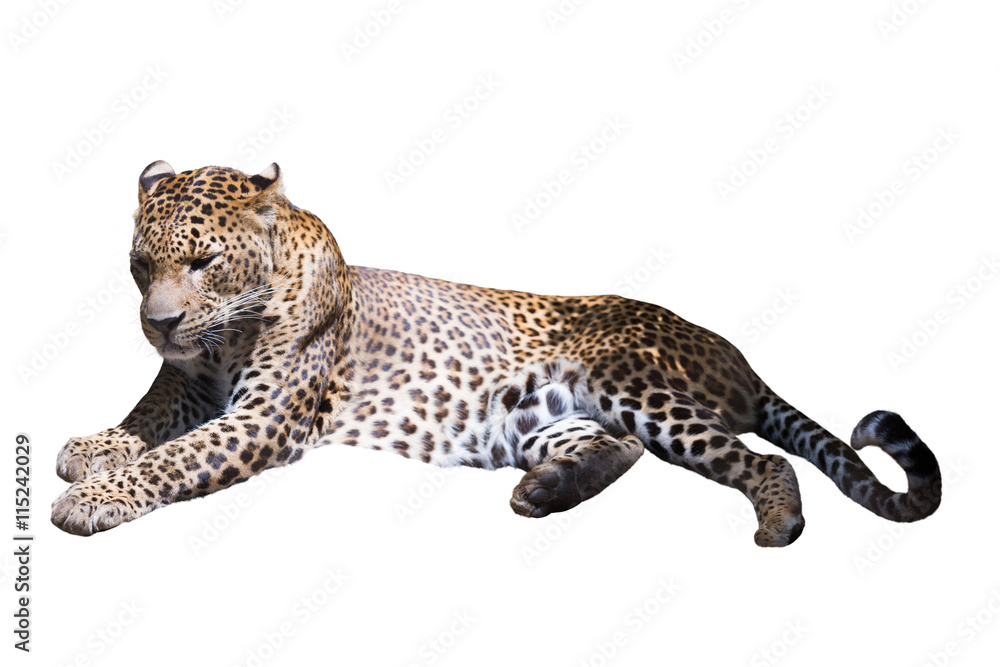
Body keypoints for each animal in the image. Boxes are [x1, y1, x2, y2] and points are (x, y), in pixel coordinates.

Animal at [51, 161, 943, 546]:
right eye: (141, 265)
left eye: (203, 261)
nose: (158, 322)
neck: (228, 331)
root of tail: (737, 357)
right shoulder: (187, 383)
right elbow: (146, 416)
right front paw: (92, 447)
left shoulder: (263, 416)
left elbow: (174, 455)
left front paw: (94, 496)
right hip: (537, 417)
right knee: (618, 450)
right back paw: (545, 493)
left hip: (632, 380)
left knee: (761, 458)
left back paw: (779, 522)